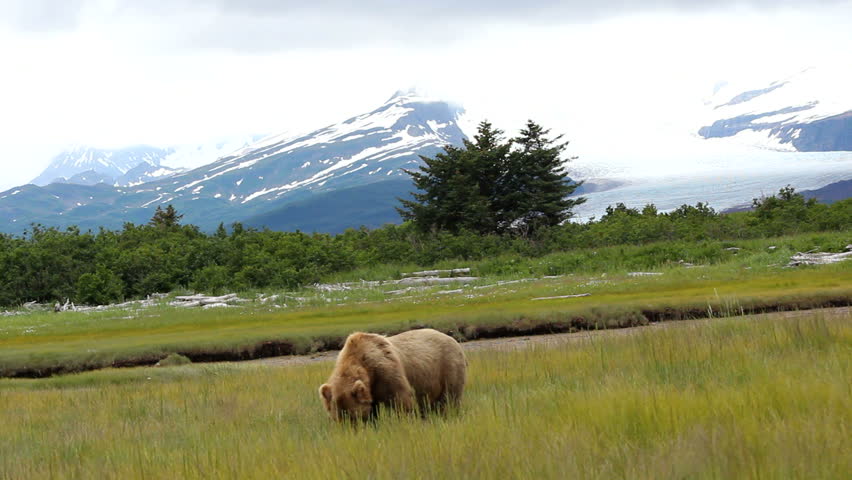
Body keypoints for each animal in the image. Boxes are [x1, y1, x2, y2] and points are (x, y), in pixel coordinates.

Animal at [318, 328, 467, 421]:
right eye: (336, 419)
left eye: (353, 417)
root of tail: (453, 339)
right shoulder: (371, 390)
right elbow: (373, 409)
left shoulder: (386, 373)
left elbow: (401, 400)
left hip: (448, 367)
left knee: (449, 398)